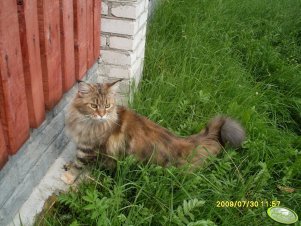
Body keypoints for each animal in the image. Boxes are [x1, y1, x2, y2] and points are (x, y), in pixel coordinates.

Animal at [65, 79, 244, 170]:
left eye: (107, 106)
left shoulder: (88, 149)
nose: (102, 114)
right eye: (94, 106)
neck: (86, 122)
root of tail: (183, 142)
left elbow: (78, 164)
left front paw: (69, 169)